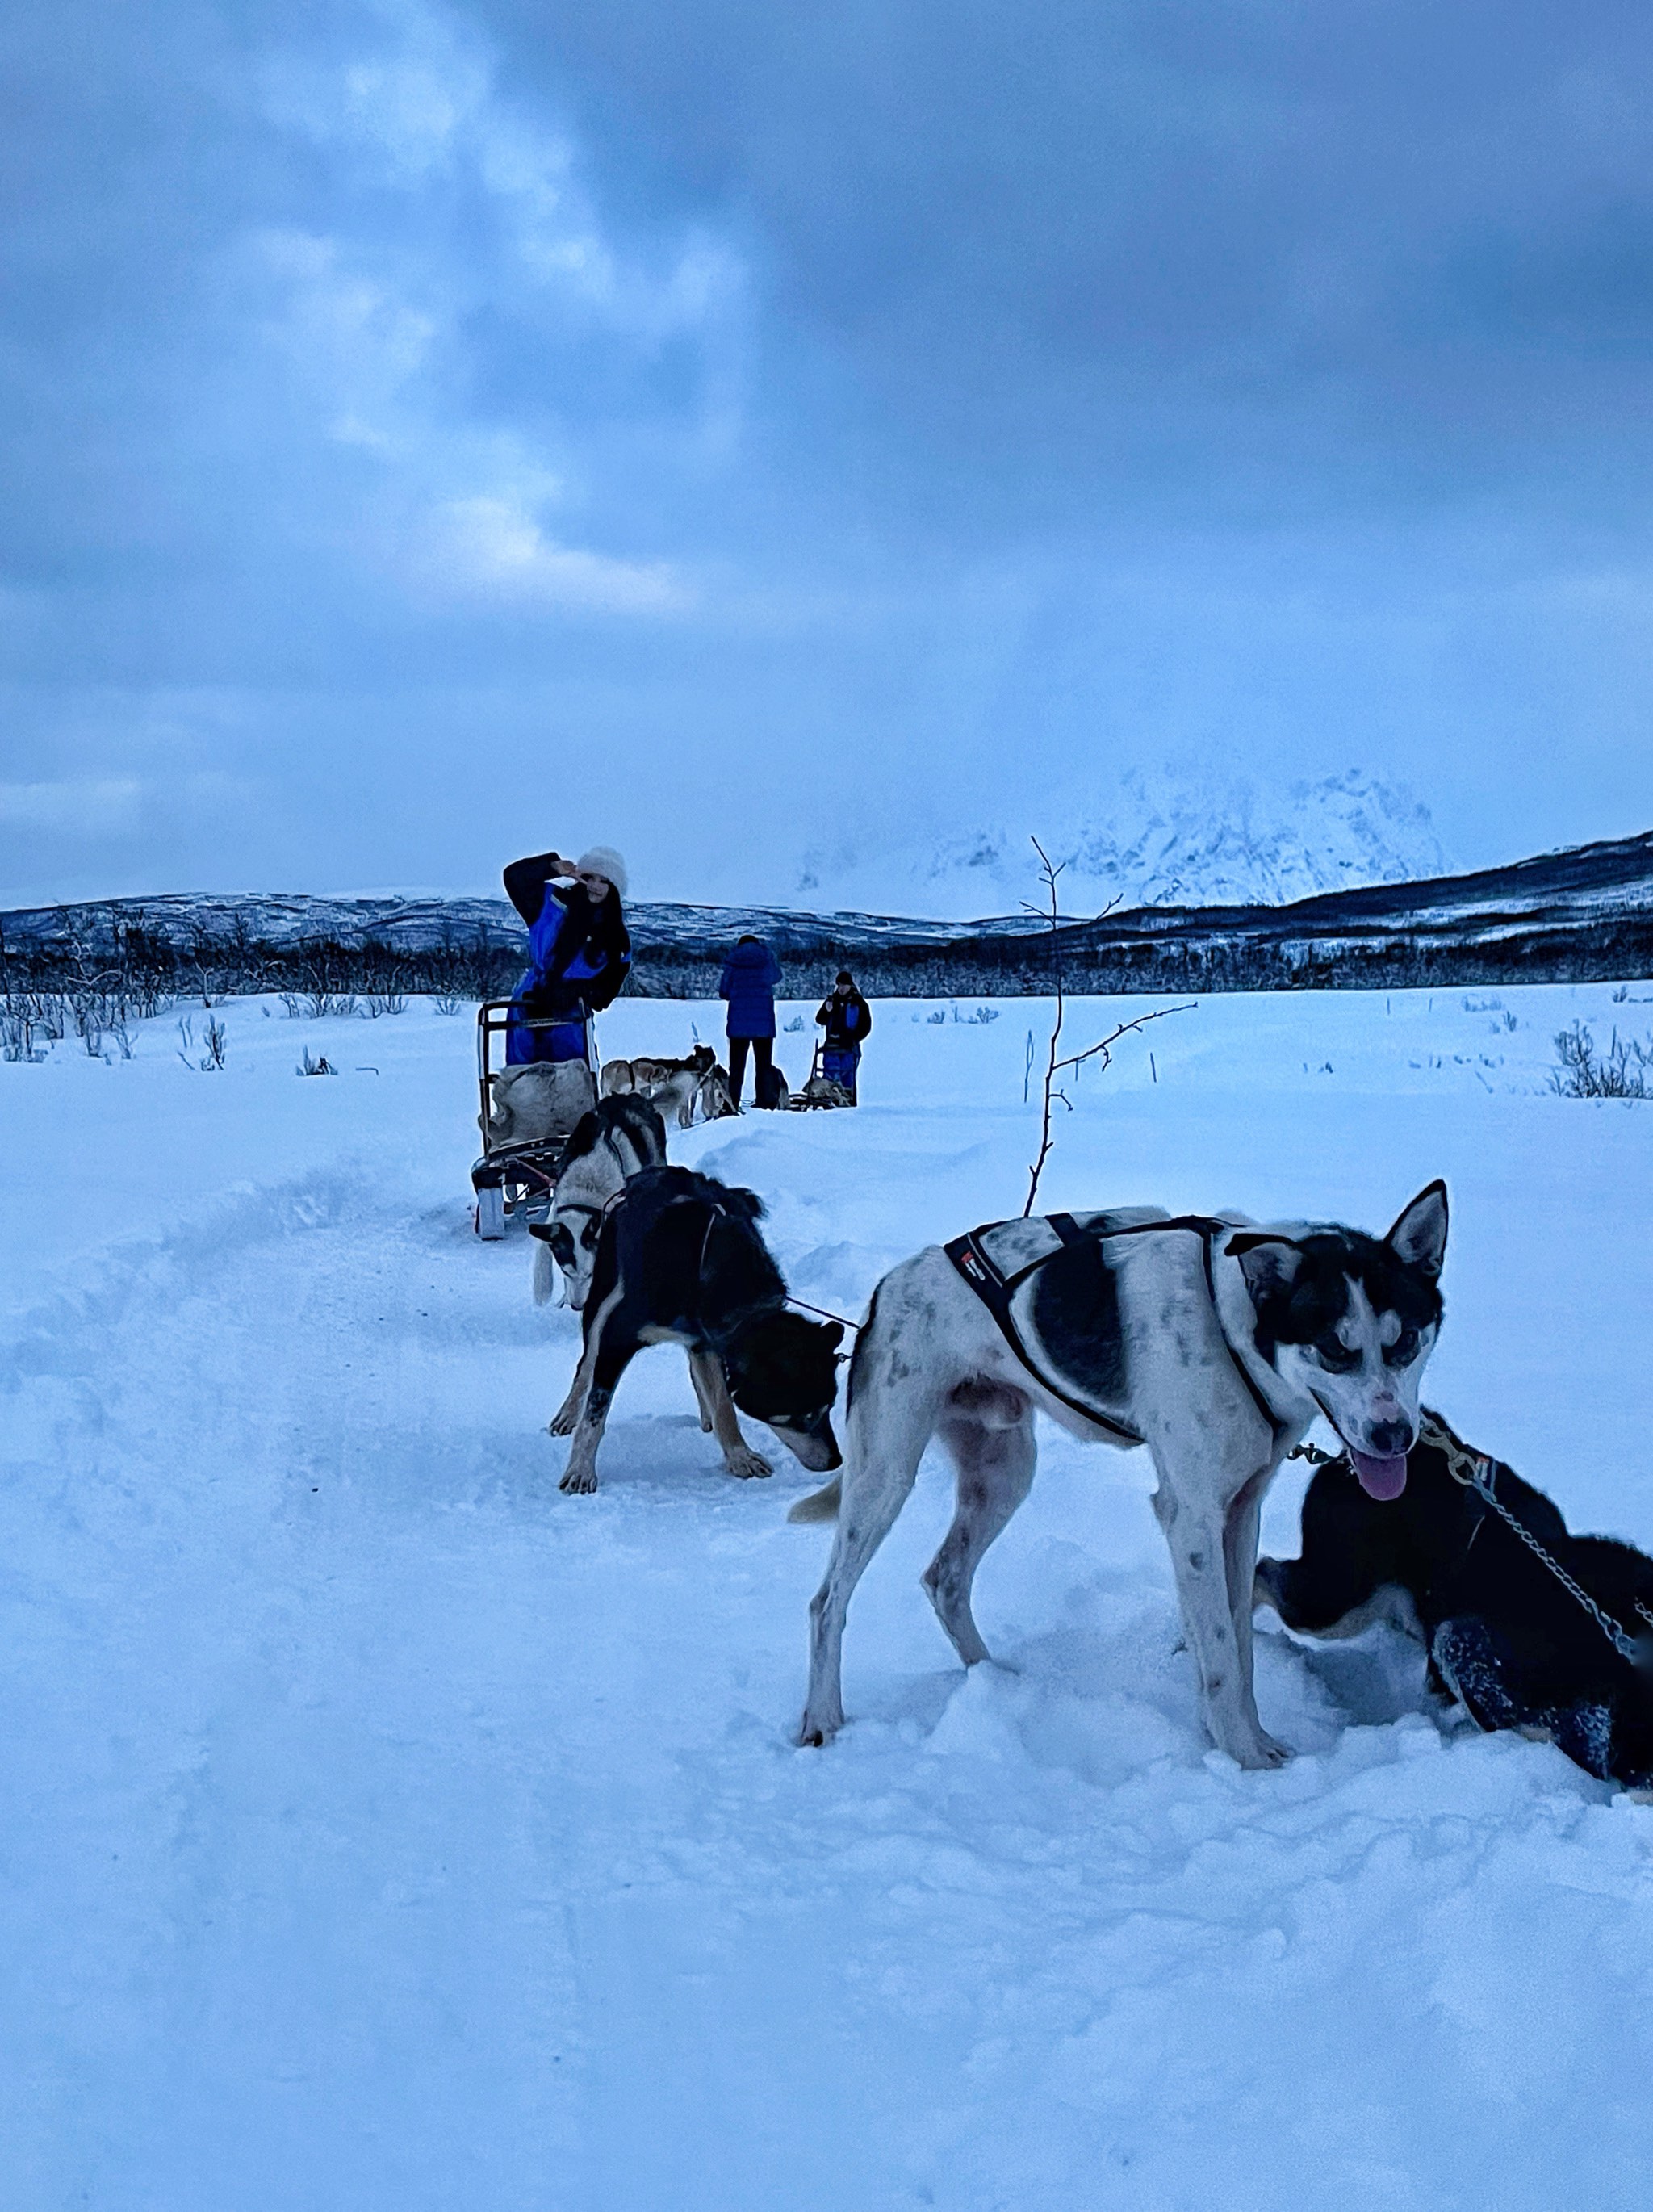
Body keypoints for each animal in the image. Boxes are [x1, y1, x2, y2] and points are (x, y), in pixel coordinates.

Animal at [553, 1167, 840, 1495]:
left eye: (830, 1405)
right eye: (805, 1415)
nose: (836, 1461)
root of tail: (651, 1173)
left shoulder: (707, 1339)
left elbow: (724, 1402)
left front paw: (739, 1455)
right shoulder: (618, 1337)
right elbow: (595, 1413)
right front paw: (580, 1470)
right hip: (601, 1298)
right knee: (587, 1362)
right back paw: (568, 1413)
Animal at [792, 1185, 1451, 1770]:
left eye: (1406, 1343)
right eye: (1334, 1350)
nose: (1395, 1436)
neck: (1231, 1319)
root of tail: (887, 1288)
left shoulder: (1241, 1510)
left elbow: (1239, 1646)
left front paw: (1243, 1736)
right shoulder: (1192, 1518)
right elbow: (1219, 1655)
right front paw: (1245, 1759)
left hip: (1003, 1473)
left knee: (945, 1578)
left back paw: (992, 1681)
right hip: (886, 1475)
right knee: (827, 1602)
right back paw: (822, 1719)